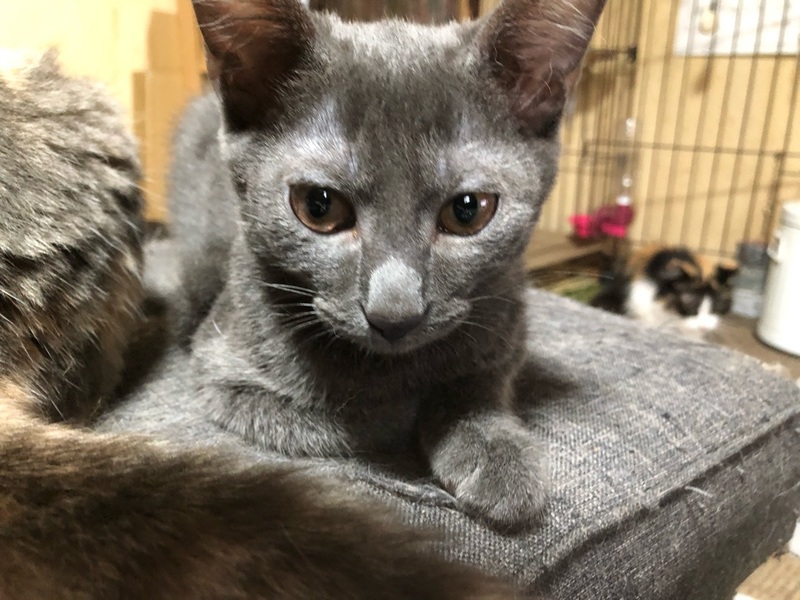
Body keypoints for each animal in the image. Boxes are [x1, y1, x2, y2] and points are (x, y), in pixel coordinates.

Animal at [161, 0, 606, 532]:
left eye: (468, 211)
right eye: (319, 206)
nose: (394, 313)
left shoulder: (507, 322)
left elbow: (481, 383)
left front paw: (495, 450)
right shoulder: (223, 374)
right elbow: (347, 425)